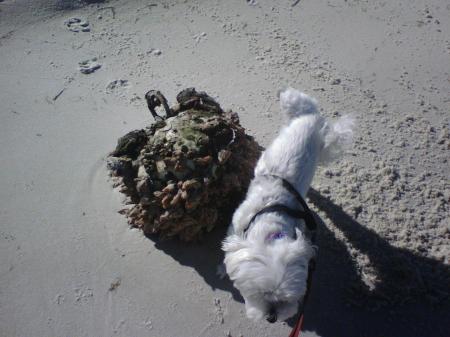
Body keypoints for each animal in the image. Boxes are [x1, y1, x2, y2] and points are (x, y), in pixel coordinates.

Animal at [221, 88, 352, 322]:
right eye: (260, 293)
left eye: (287, 297)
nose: (272, 317)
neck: (271, 216)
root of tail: (312, 117)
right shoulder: (235, 226)